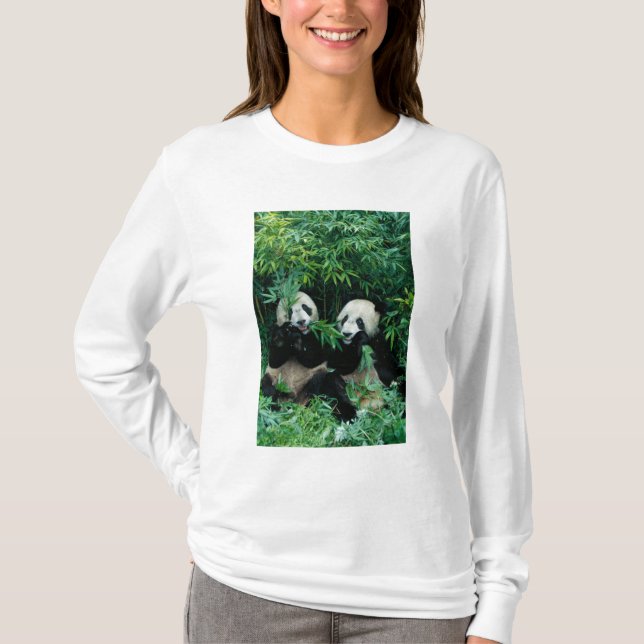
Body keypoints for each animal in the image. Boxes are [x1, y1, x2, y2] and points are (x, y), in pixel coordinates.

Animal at [260, 291, 356, 421]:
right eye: (290, 311)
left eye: (305, 308)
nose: (301, 321)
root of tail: (295, 402)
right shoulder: (274, 330)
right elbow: (274, 360)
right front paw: (283, 337)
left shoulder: (322, 333)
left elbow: (314, 358)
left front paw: (298, 341)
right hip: (275, 379)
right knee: (267, 388)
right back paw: (273, 409)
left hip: (314, 381)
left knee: (329, 385)